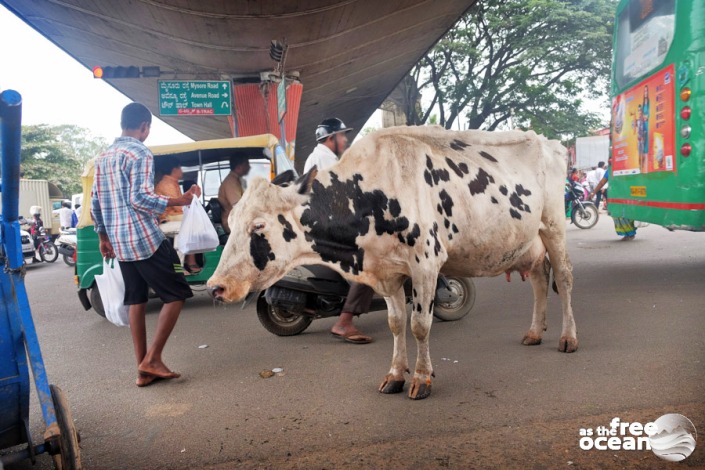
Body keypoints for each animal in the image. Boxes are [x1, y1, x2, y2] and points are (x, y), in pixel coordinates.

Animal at [206, 126, 576, 400]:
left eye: (259, 225)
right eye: (232, 220)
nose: (216, 286)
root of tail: (548, 141)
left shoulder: (426, 264)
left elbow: (420, 325)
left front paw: (422, 379)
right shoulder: (387, 273)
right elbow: (397, 324)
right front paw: (396, 375)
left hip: (554, 227)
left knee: (563, 279)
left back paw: (568, 338)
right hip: (529, 243)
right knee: (540, 279)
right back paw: (534, 332)